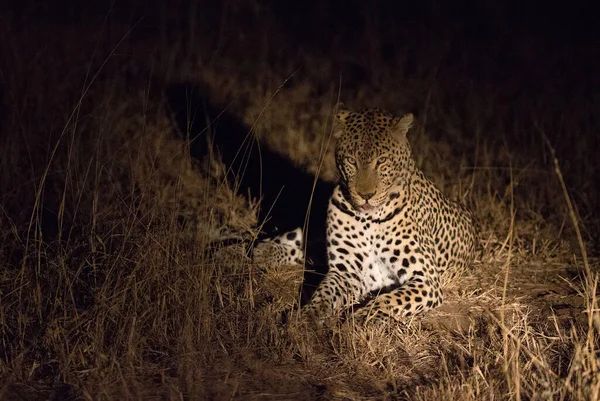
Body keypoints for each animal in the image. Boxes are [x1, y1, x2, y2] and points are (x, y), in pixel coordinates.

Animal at [253, 105, 478, 322]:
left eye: (382, 160)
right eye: (351, 161)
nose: (366, 195)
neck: (370, 219)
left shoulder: (425, 279)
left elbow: (391, 299)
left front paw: (361, 318)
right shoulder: (347, 271)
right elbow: (323, 295)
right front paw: (307, 317)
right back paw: (261, 250)